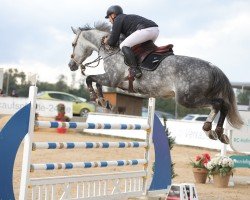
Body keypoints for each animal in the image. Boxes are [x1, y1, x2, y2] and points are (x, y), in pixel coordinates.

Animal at [67, 22, 243, 144]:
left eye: (73, 44)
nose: (71, 65)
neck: (112, 50)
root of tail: (213, 67)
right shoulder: (114, 81)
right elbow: (96, 83)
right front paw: (103, 101)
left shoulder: (112, 78)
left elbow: (90, 79)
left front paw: (96, 98)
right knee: (224, 105)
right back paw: (218, 133)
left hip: (187, 99)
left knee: (218, 104)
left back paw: (209, 129)